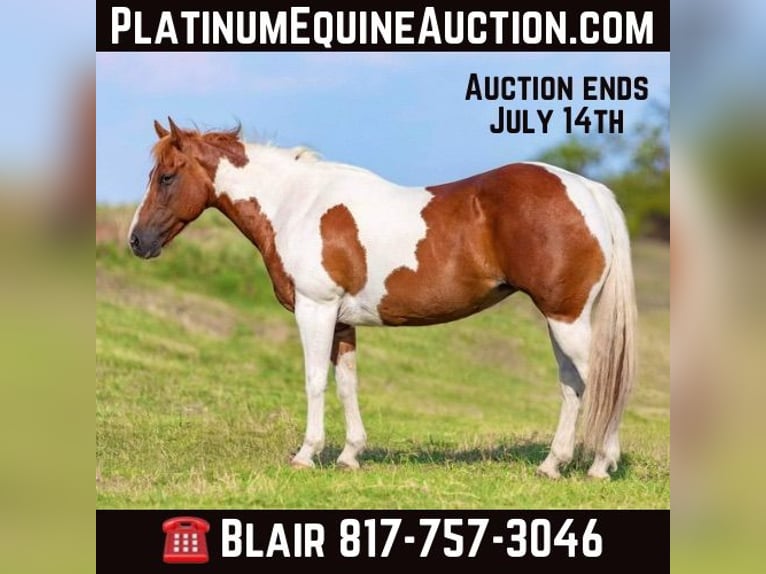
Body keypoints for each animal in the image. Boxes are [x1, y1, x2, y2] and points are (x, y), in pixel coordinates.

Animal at [128, 118, 637, 479]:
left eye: (167, 177)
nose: (137, 242)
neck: (297, 204)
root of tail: (587, 190)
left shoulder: (315, 310)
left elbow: (315, 380)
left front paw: (307, 454)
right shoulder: (341, 320)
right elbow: (347, 384)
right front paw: (350, 455)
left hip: (566, 317)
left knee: (601, 382)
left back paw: (599, 465)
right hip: (561, 319)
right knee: (572, 385)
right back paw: (553, 464)